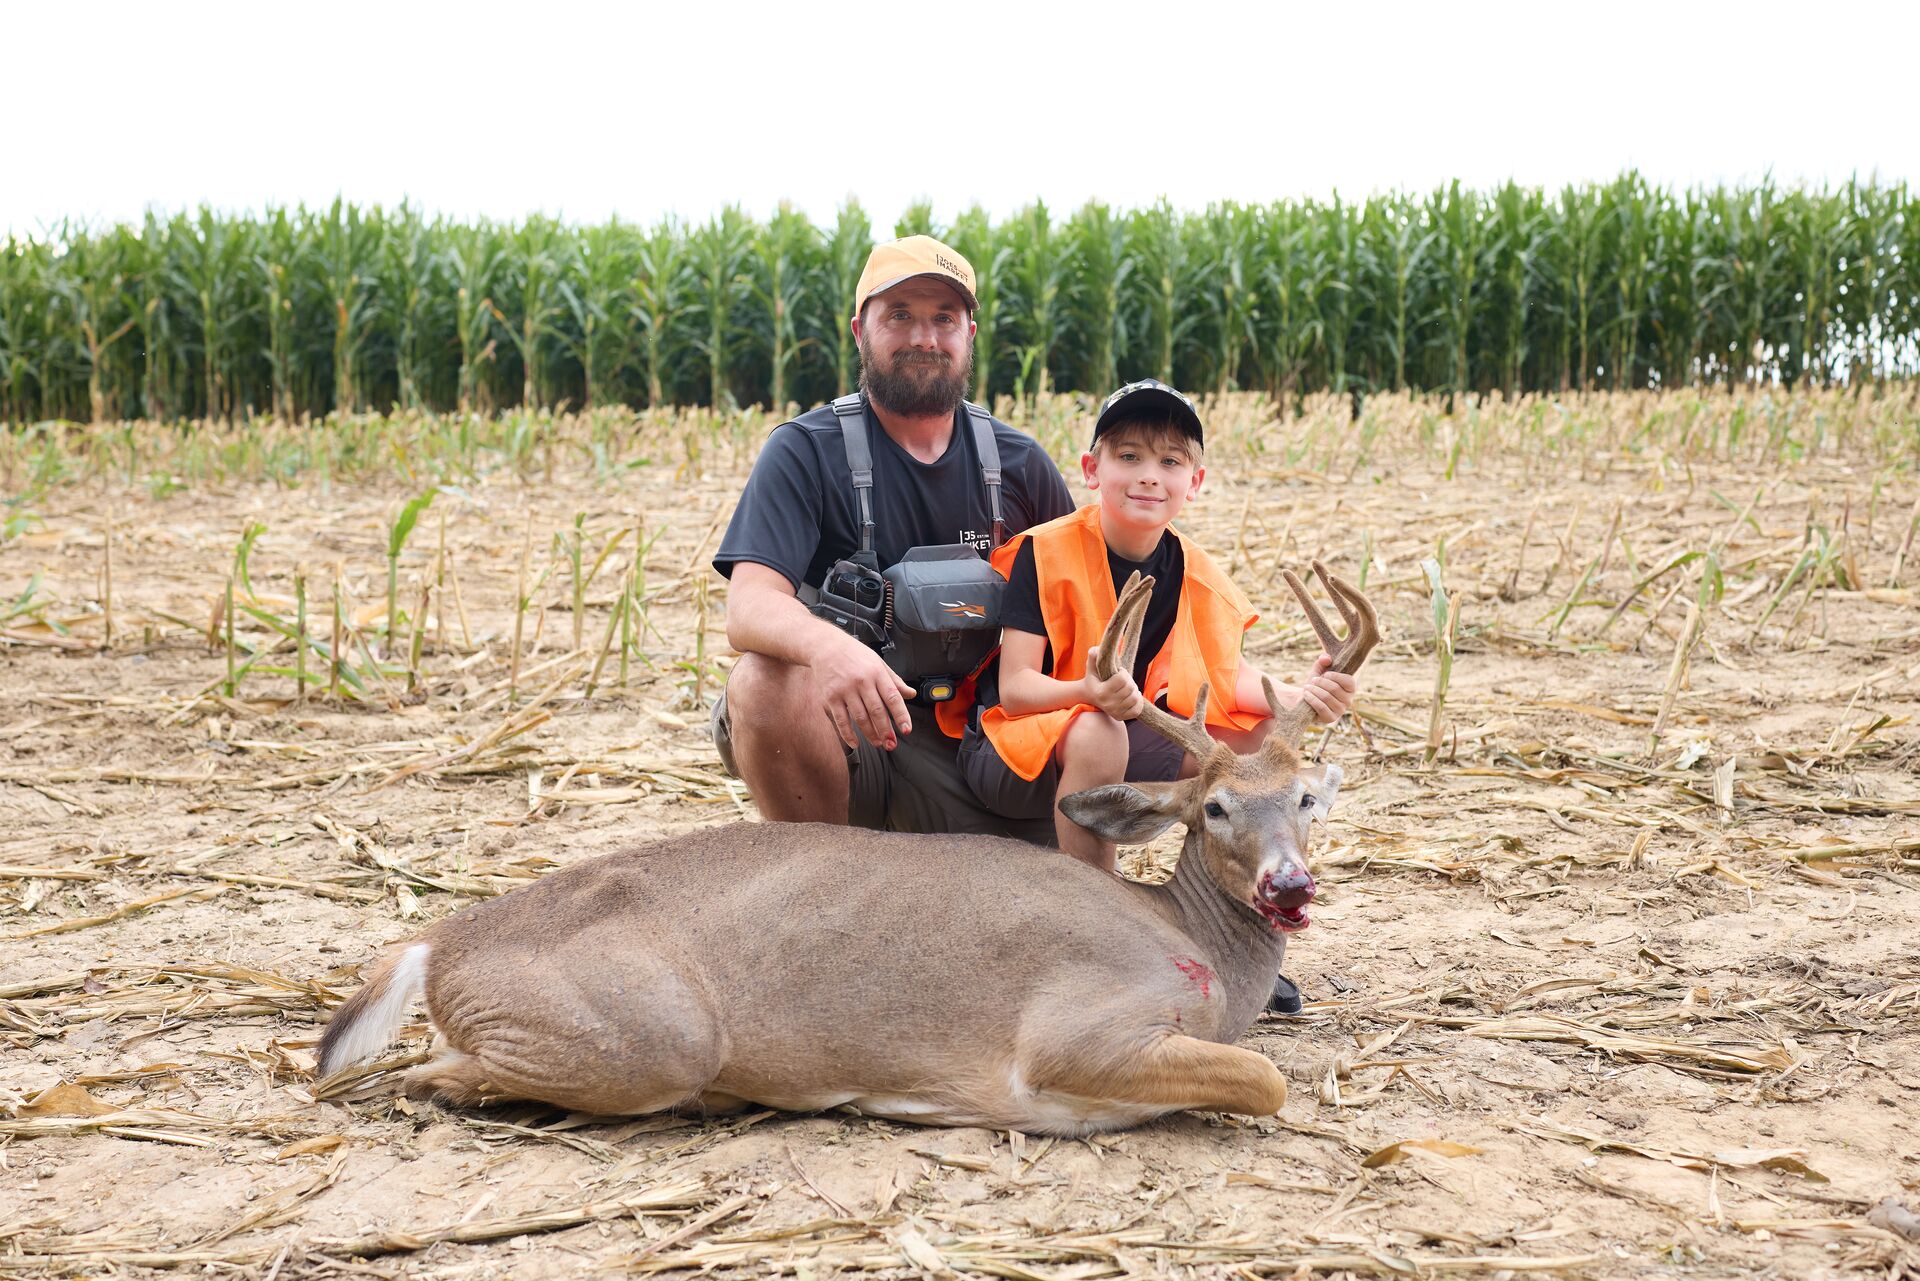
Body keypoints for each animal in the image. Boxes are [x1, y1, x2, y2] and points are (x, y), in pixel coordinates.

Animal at [317, 563, 1378, 1136]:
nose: (1290, 883)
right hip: (648, 1033)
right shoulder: (1080, 1028)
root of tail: (435, 944)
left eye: (1307, 799)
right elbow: (1266, 1079)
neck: (1193, 951)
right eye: (1216, 809)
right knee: (423, 1074)